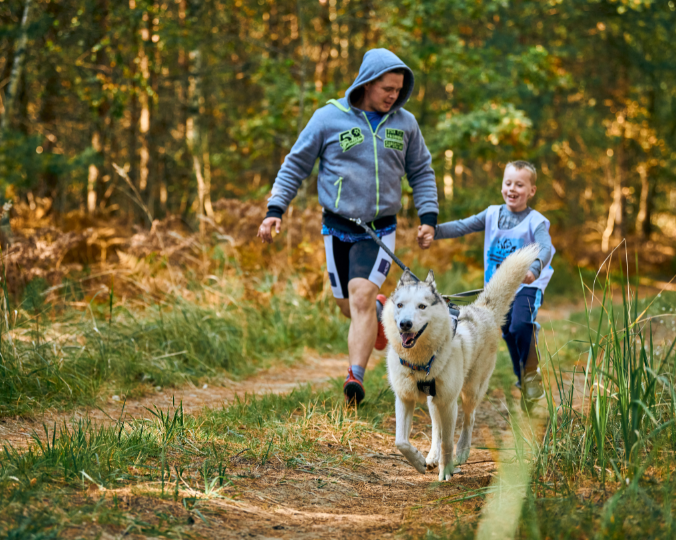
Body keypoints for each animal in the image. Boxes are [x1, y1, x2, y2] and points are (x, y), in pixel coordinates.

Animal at [382, 245, 540, 481]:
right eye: (400, 305)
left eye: (422, 306)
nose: (405, 324)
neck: (420, 361)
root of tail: (483, 309)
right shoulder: (404, 399)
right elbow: (401, 441)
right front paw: (418, 461)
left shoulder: (449, 403)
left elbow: (448, 442)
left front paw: (447, 469)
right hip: (435, 401)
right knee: (437, 428)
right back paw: (432, 456)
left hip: (470, 390)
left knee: (469, 418)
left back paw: (462, 451)